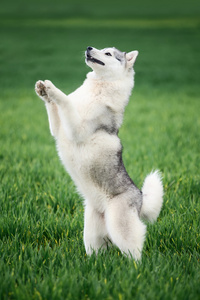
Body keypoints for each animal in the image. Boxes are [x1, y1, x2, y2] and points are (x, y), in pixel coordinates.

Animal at [35, 46, 163, 260]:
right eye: (102, 49)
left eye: (109, 54)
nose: (89, 48)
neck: (99, 86)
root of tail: (140, 198)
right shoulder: (58, 129)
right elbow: (53, 106)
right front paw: (42, 90)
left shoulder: (75, 128)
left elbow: (65, 101)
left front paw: (52, 88)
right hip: (91, 234)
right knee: (97, 252)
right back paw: (93, 264)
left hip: (120, 227)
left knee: (135, 250)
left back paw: (136, 267)